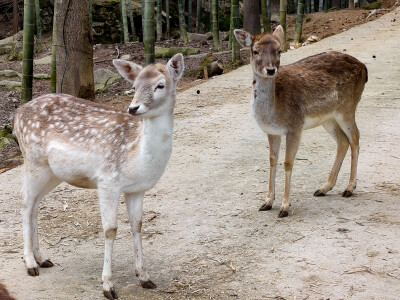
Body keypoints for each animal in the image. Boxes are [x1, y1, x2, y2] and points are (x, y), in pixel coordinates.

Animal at [13, 53, 185, 298]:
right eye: (134, 86)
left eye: (160, 85)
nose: (133, 108)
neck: (137, 158)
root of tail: (16, 115)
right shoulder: (107, 182)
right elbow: (110, 230)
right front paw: (108, 286)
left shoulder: (137, 189)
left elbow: (137, 225)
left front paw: (145, 277)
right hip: (33, 161)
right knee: (25, 202)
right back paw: (30, 263)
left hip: (52, 173)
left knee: (35, 204)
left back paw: (42, 258)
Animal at [234, 25, 368, 218]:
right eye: (255, 51)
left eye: (279, 50)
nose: (270, 70)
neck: (274, 112)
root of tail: (364, 68)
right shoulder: (272, 131)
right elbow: (272, 160)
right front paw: (267, 202)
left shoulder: (295, 126)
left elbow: (288, 162)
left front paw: (284, 207)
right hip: (328, 118)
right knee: (343, 141)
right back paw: (323, 188)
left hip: (347, 108)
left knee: (355, 138)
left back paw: (349, 188)